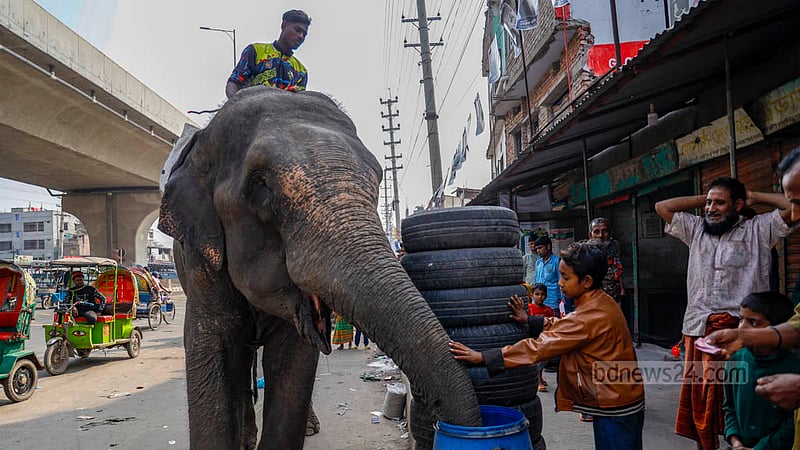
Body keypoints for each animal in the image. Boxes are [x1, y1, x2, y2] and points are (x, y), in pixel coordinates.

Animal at [158, 86, 482, 449]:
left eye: (377, 178)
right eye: (259, 184)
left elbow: (294, 359)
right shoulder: (199, 261)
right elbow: (212, 347)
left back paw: (308, 428)